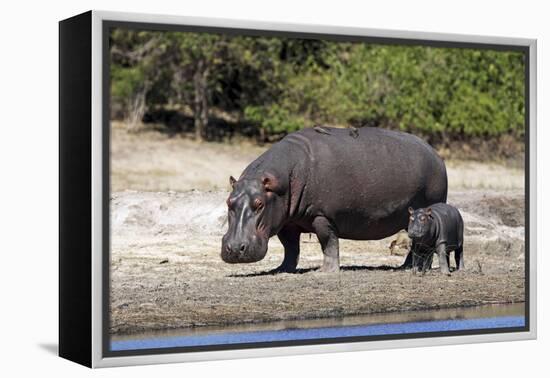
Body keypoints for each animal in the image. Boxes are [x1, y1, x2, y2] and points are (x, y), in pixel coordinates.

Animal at [220, 126, 448, 272]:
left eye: (259, 204)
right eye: (228, 202)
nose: (234, 248)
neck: (281, 182)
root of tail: (436, 154)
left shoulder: (322, 216)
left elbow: (328, 242)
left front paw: (326, 271)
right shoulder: (286, 221)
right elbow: (290, 248)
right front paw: (282, 269)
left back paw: (410, 267)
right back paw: (409, 266)